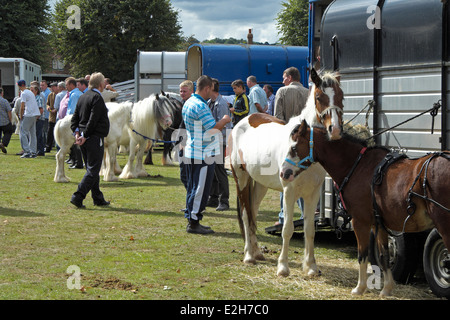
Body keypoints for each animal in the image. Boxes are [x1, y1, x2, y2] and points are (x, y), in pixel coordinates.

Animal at [230, 69, 342, 278]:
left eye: (341, 96)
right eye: (319, 97)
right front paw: (283, 267)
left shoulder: (313, 193)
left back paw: (256, 252)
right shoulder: (289, 191)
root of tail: (243, 121)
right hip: (242, 179)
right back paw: (249, 256)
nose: (336, 130)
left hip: (260, 184)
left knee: (253, 212)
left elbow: (309, 229)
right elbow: (287, 229)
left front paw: (311, 267)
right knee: (246, 214)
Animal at [282, 121, 450, 296]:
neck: (358, 165)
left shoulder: (360, 221)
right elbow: (383, 256)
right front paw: (386, 289)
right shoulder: (379, 224)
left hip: (444, 226)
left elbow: (362, 255)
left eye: (293, 147)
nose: (284, 172)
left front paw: (360, 287)